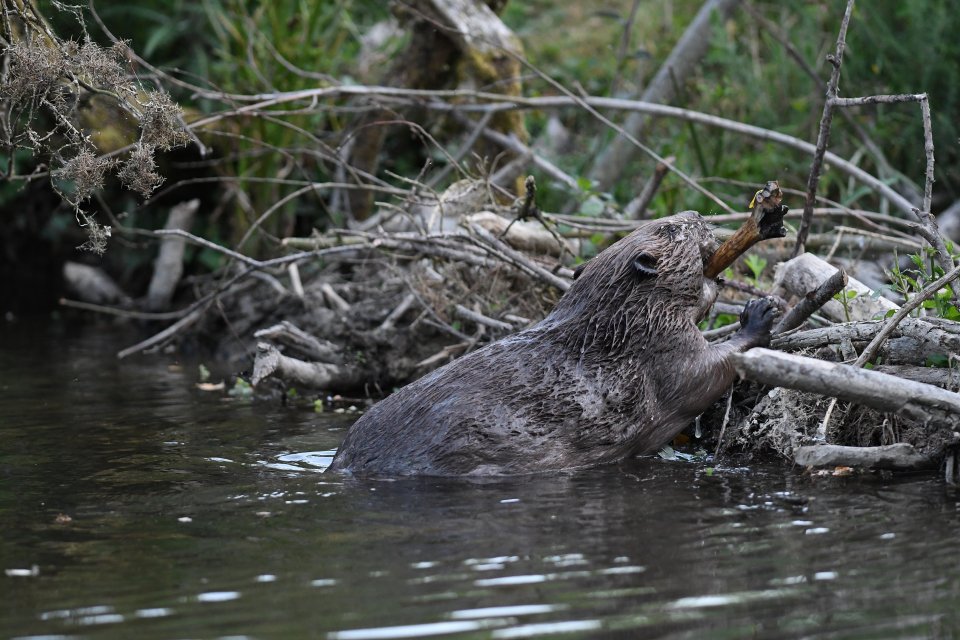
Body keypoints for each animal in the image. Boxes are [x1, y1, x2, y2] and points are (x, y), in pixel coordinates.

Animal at [326, 210, 776, 476]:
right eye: (671, 229)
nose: (696, 214)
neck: (615, 322)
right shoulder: (661, 346)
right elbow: (703, 375)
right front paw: (759, 313)